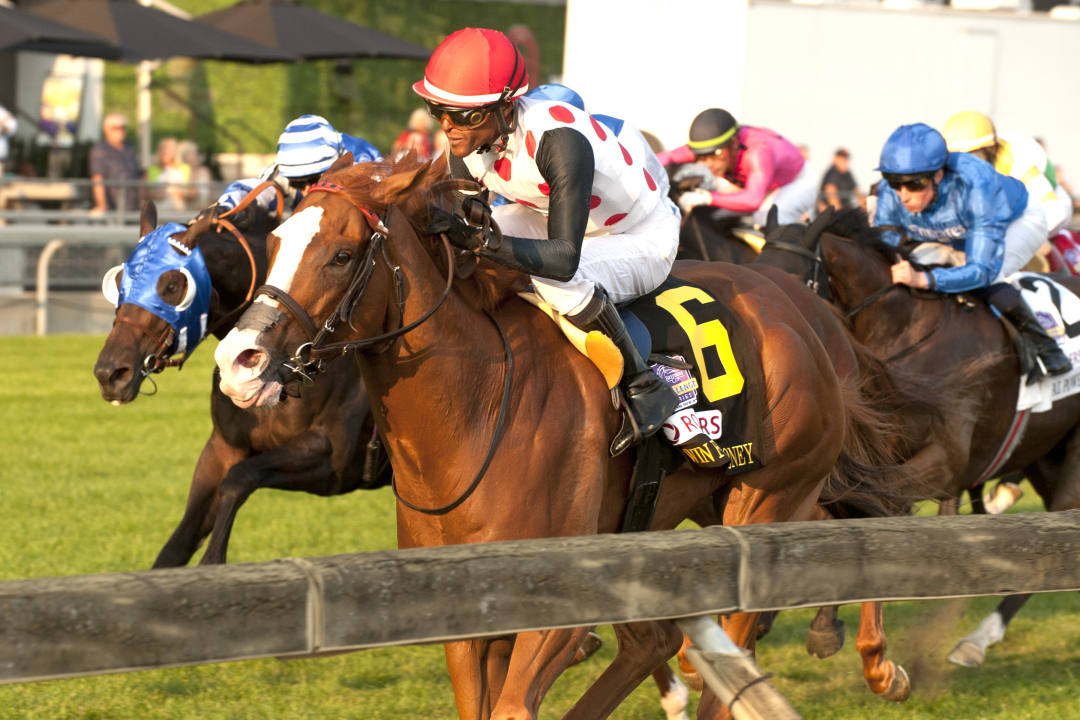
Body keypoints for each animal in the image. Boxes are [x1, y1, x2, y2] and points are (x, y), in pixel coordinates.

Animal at [92, 199, 388, 565]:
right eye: (119, 282)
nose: (109, 373)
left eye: (172, 286)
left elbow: (239, 479)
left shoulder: (331, 455)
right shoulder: (222, 449)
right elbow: (176, 546)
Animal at [210, 158, 911, 720]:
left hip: (767, 501)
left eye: (342, 255)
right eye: (274, 242)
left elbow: (519, 702)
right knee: (662, 641)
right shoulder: (463, 612)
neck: (474, 408)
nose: (239, 361)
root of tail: (812, 314)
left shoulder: (554, 604)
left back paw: (873, 661)